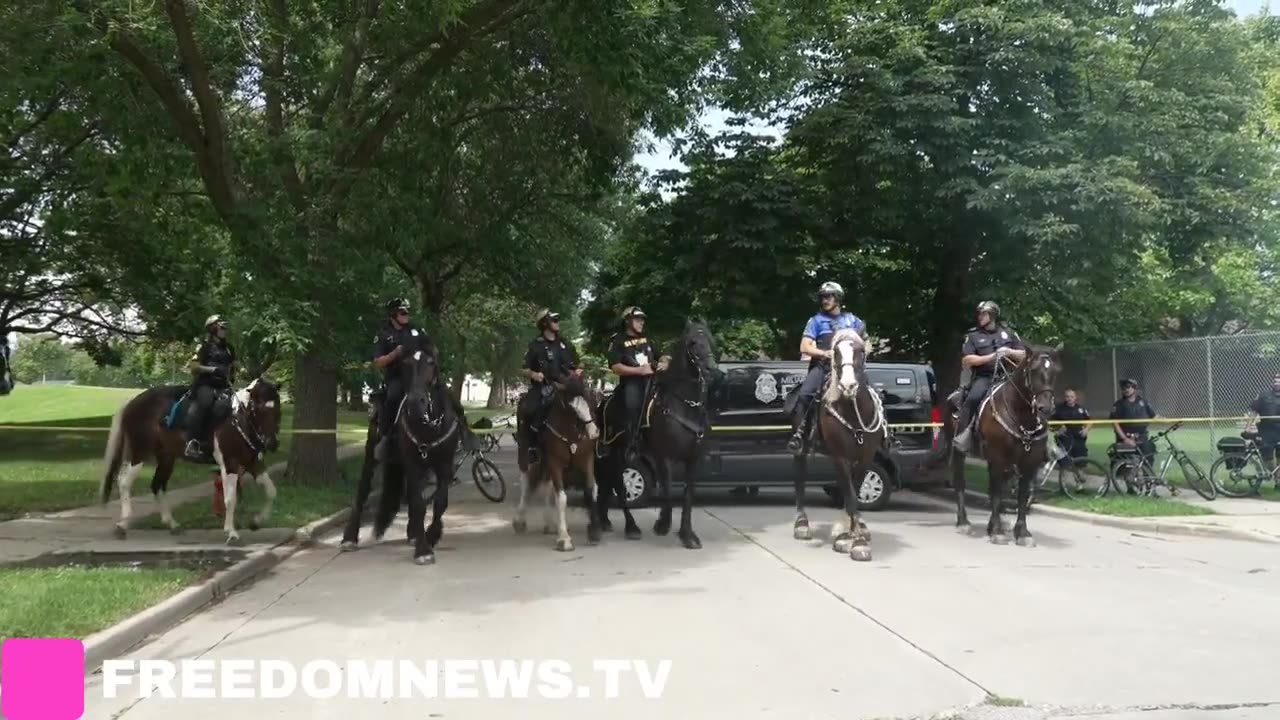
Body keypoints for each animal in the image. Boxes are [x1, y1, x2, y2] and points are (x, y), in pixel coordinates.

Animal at [99, 376, 282, 543]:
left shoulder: (253, 462)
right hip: (139, 452)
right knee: (124, 482)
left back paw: (172, 525)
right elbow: (230, 499)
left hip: (166, 457)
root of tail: (132, 402)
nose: (271, 443)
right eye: (258, 407)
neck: (237, 421)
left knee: (157, 485)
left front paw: (256, 522)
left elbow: (271, 491)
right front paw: (231, 533)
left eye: (277, 408)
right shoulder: (229, 463)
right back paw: (122, 526)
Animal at [340, 333, 460, 563]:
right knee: (362, 491)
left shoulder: (445, 463)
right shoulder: (413, 463)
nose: (416, 402)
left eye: (431, 362)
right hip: (373, 455)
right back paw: (349, 538)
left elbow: (440, 501)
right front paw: (423, 550)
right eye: (405, 363)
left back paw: (413, 533)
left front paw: (431, 535)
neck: (430, 424)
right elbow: (419, 503)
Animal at [512, 368, 601, 548]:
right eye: (572, 407)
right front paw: (564, 538)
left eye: (590, 400)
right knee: (526, 483)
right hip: (525, 453)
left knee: (546, 485)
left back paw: (550, 523)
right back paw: (520, 520)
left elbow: (591, 489)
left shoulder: (586, 459)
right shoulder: (555, 462)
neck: (571, 430)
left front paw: (594, 530)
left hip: (546, 462)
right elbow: (561, 498)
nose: (594, 432)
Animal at [783, 330, 885, 561]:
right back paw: (801, 523)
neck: (853, 412)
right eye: (836, 352)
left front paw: (849, 531)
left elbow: (854, 489)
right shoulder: (840, 456)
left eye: (860, 351)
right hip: (801, 451)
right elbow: (850, 495)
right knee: (799, 479)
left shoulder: (865, 456)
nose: (848, 386)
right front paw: (855, 542)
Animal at [942, 343, 1059, 543]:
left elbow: (1021, 496)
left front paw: (1021, 532)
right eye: (1033, 371)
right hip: (958, 450)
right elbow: (997, 492)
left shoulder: (1029, 462)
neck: (1021, 416)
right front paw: (996, 531)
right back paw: (963, 521)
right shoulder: (998, 457)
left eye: (1055, 371)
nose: (1046, 408)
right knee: (960, 482)